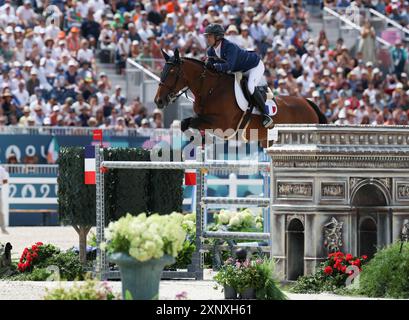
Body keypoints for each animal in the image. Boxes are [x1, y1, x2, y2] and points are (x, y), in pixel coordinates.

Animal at [153, 48, 326, 148]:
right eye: (162, 71)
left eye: (172, 72)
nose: (158, 101)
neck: (209, 89)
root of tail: (308, 103)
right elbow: (185, 123)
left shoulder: (222, 124)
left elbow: (191, 122)